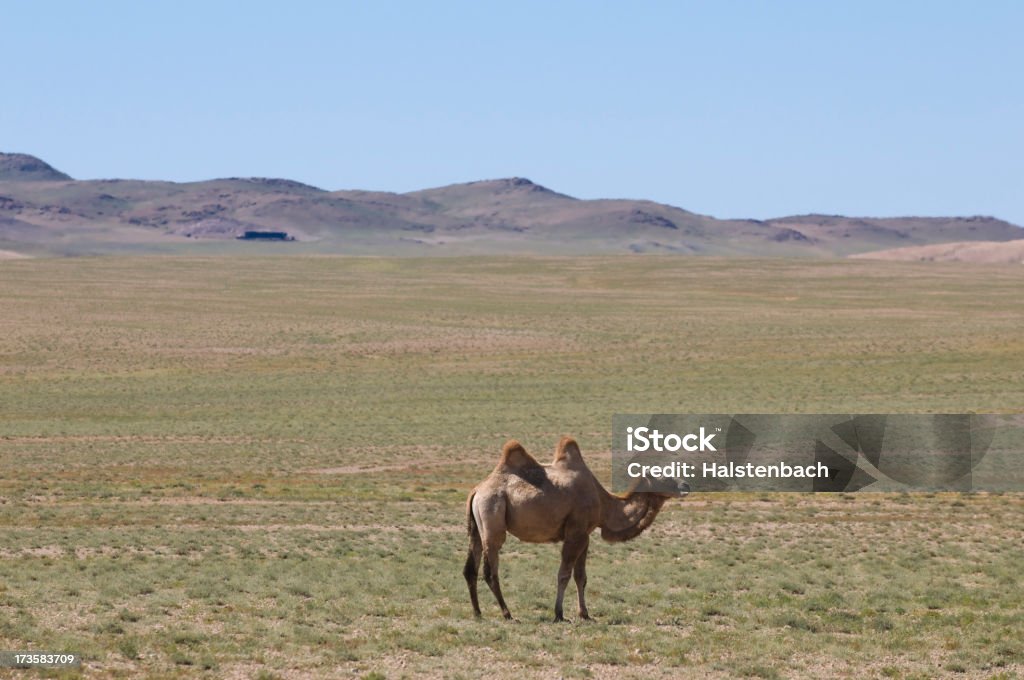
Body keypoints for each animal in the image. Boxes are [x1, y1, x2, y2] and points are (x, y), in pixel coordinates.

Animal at [464, 436, 688, 622]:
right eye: (663, 475)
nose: (685, 485)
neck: (604, 505)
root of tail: (477, 491)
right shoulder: (575, 532)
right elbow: (564, 574)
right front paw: (559, 614)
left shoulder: (585, 536)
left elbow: (581, 576)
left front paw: (585, 614)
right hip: (492, 515)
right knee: (490, 571)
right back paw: (507, 613)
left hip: (476, 528)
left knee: (470, 569)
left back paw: (477, 612)